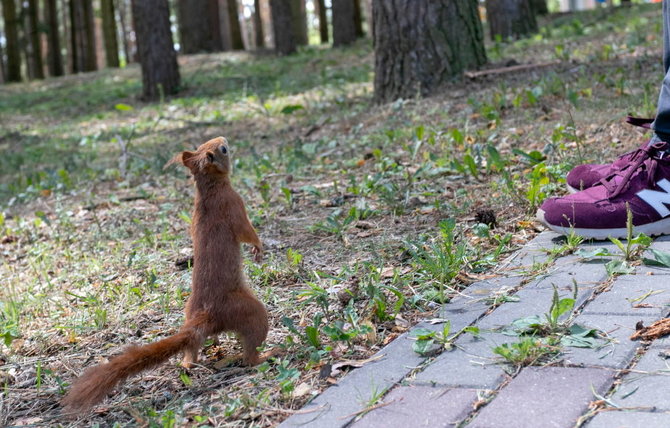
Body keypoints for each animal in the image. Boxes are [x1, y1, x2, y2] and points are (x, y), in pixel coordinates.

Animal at [61, 136, 270, 412]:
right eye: (222, 149)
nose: (224, 139)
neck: (209, 190)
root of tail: (205, 315)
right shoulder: (233, 204)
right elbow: (247, 231)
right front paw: (258, 247)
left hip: (191, 315)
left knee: (190, 353)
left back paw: (189, 363)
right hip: (248, 311)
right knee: (250, 352)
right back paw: (266, 355)